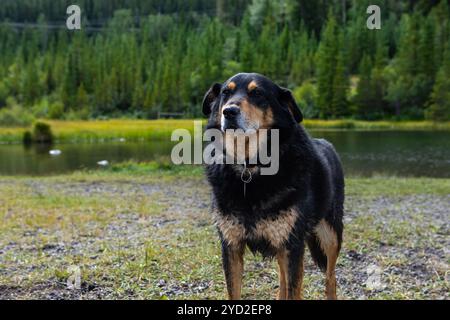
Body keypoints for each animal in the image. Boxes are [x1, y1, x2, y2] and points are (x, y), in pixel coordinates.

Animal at [203, 73, 344, 300]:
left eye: (258, 93)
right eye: (226, 92)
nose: (229, 111)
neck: (251, 168)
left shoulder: (292, 245)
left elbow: (295, 288)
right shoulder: (231, 244)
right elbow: (235, 291)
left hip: (330, 234)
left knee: (330, 277)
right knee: (282, 278)